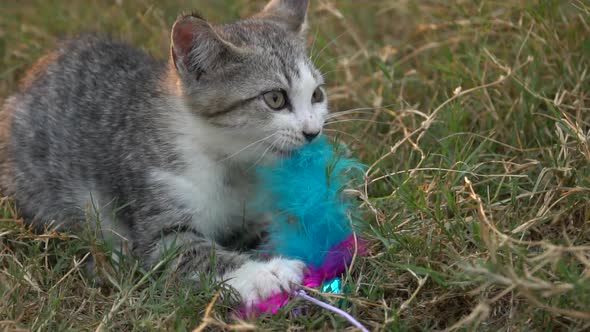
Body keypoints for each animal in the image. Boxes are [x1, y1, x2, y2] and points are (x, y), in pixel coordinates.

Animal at [0, 0, 328, 306]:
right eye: (275, 98)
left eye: (317, 95)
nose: (312, 132)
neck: (230, 164)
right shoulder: (158, 215)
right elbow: (196, 254)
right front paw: (266, 273)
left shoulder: (254, 213)